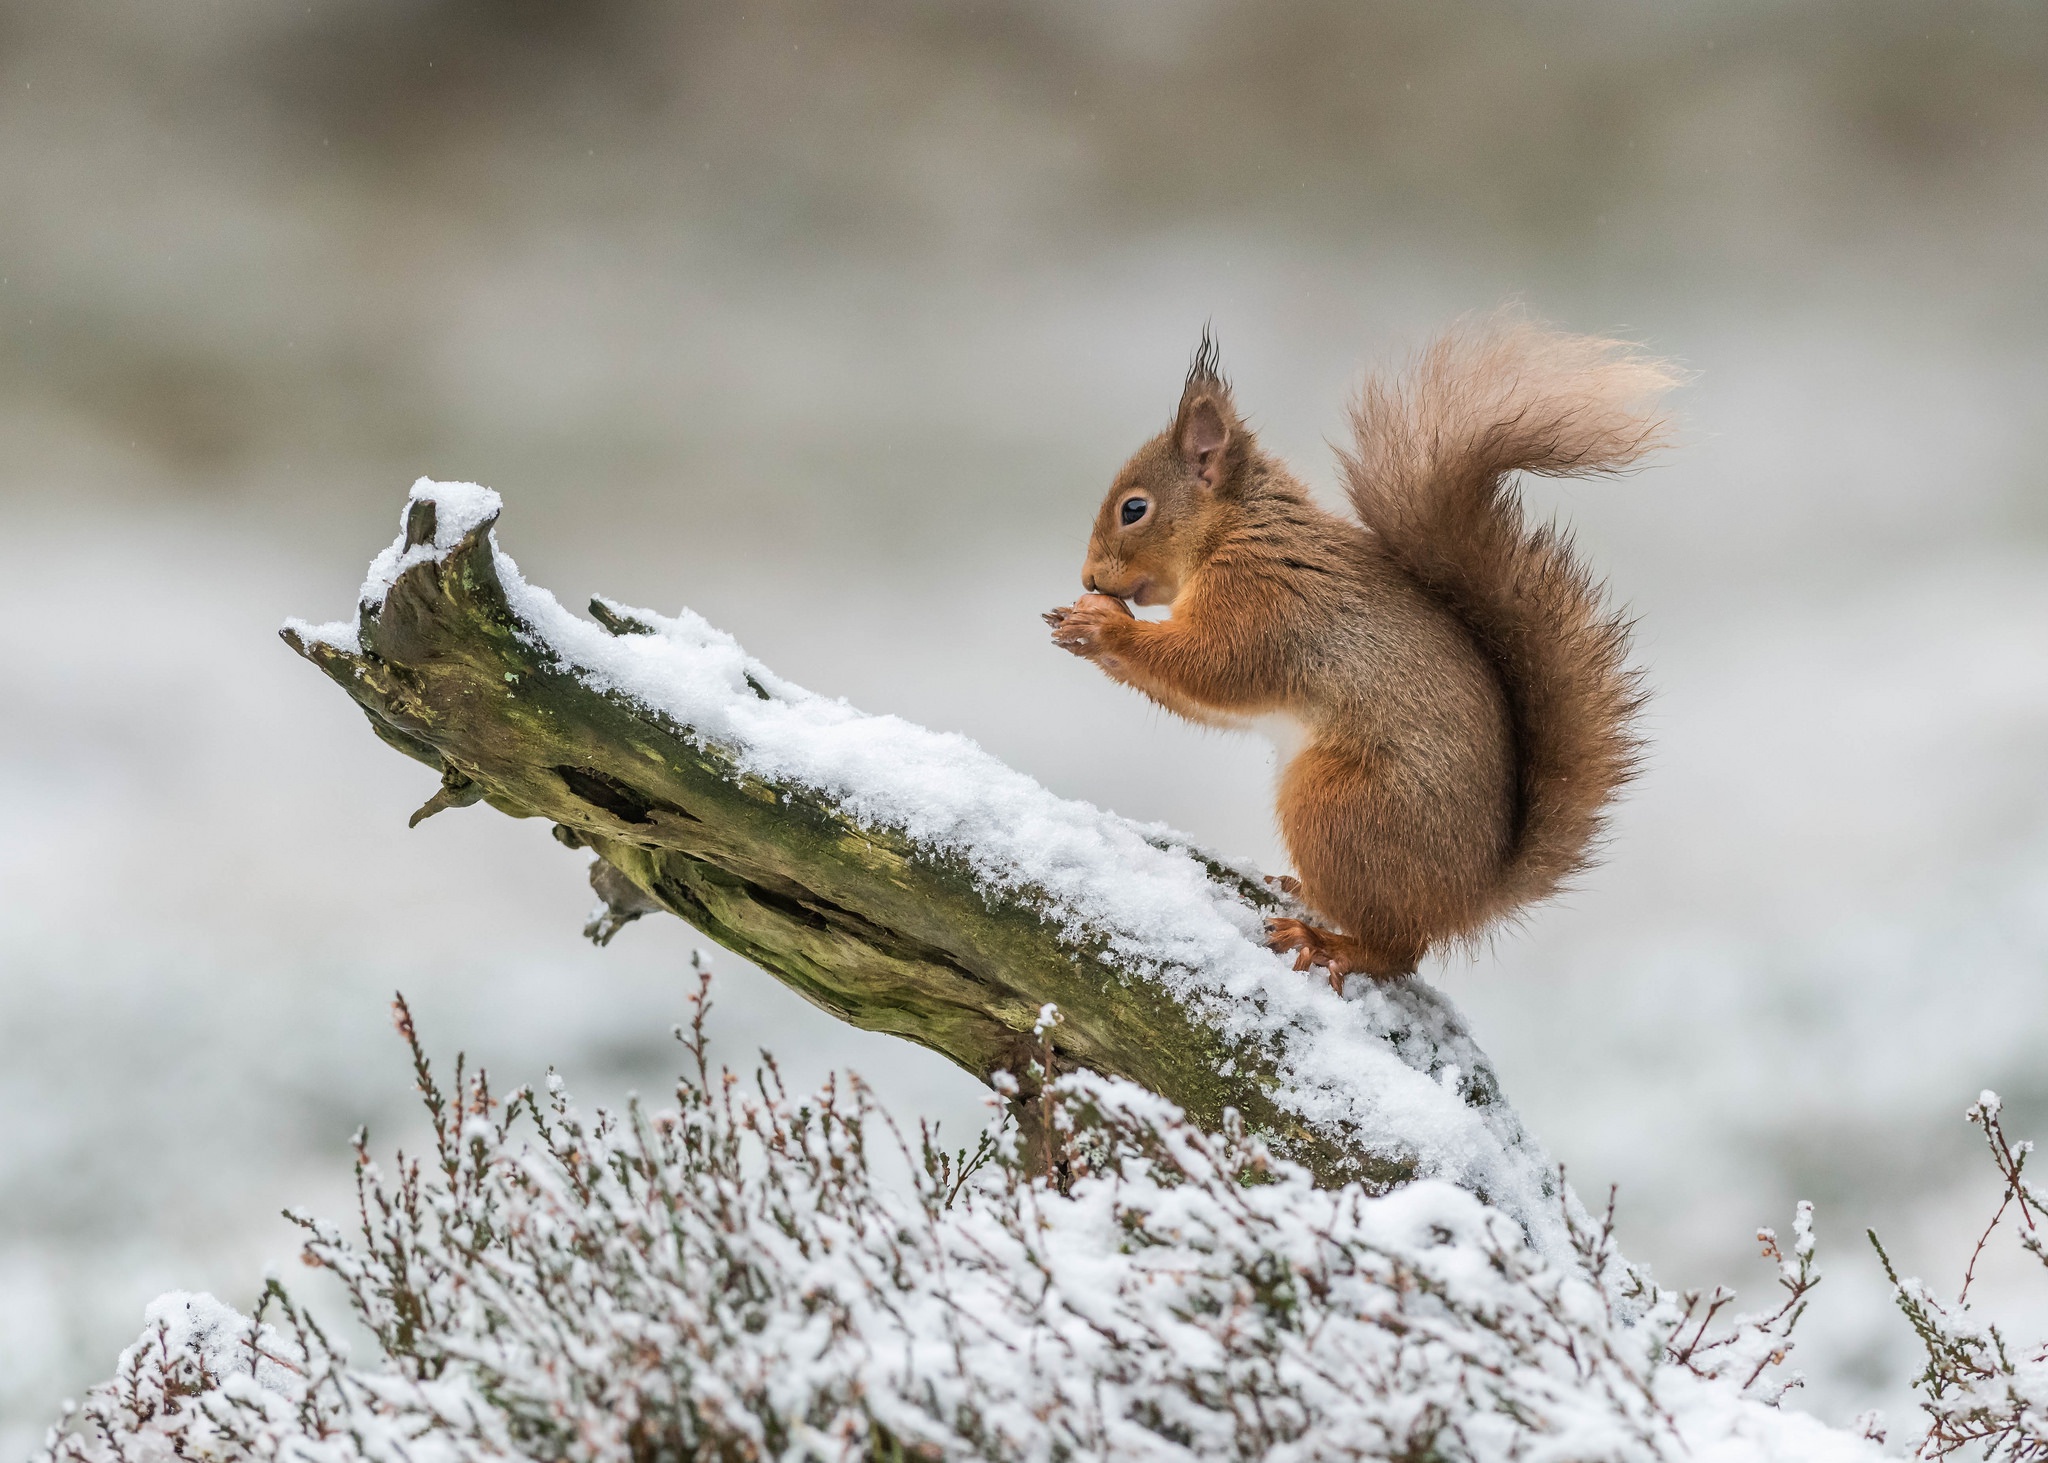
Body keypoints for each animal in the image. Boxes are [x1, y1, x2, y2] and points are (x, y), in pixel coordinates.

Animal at [1048, 313, 1671, 987]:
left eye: (1134, 509)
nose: (1088, 579)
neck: (1234, 532)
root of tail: (1469, 899)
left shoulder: (1263, 604)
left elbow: (1213, 668)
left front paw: (1102, 627)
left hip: (1335, 807)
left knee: (1398, 949)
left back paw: (1328, 942)